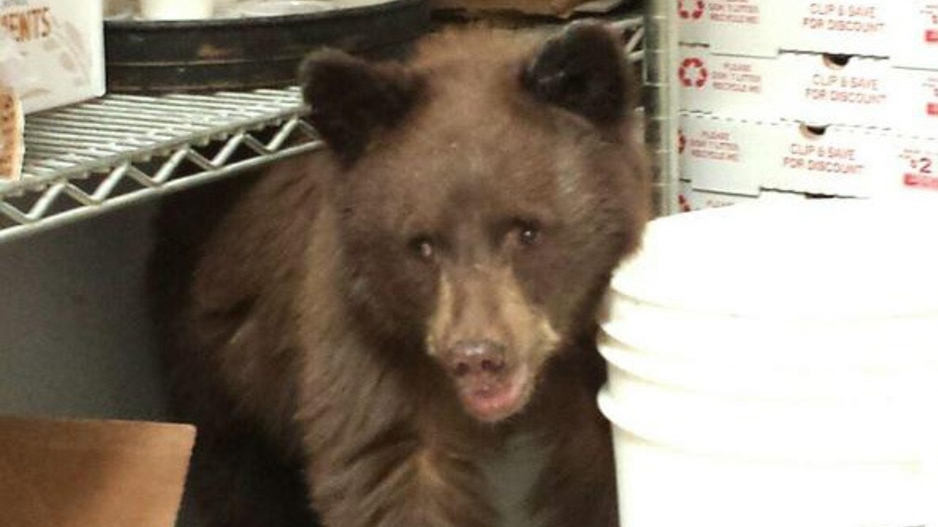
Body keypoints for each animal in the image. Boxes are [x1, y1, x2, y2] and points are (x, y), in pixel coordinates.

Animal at [150, 21, 651, 527]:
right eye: (422, 245)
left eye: (527, 230)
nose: (477, 357)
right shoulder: (366, 344)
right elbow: (384, 474)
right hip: (218, 369)